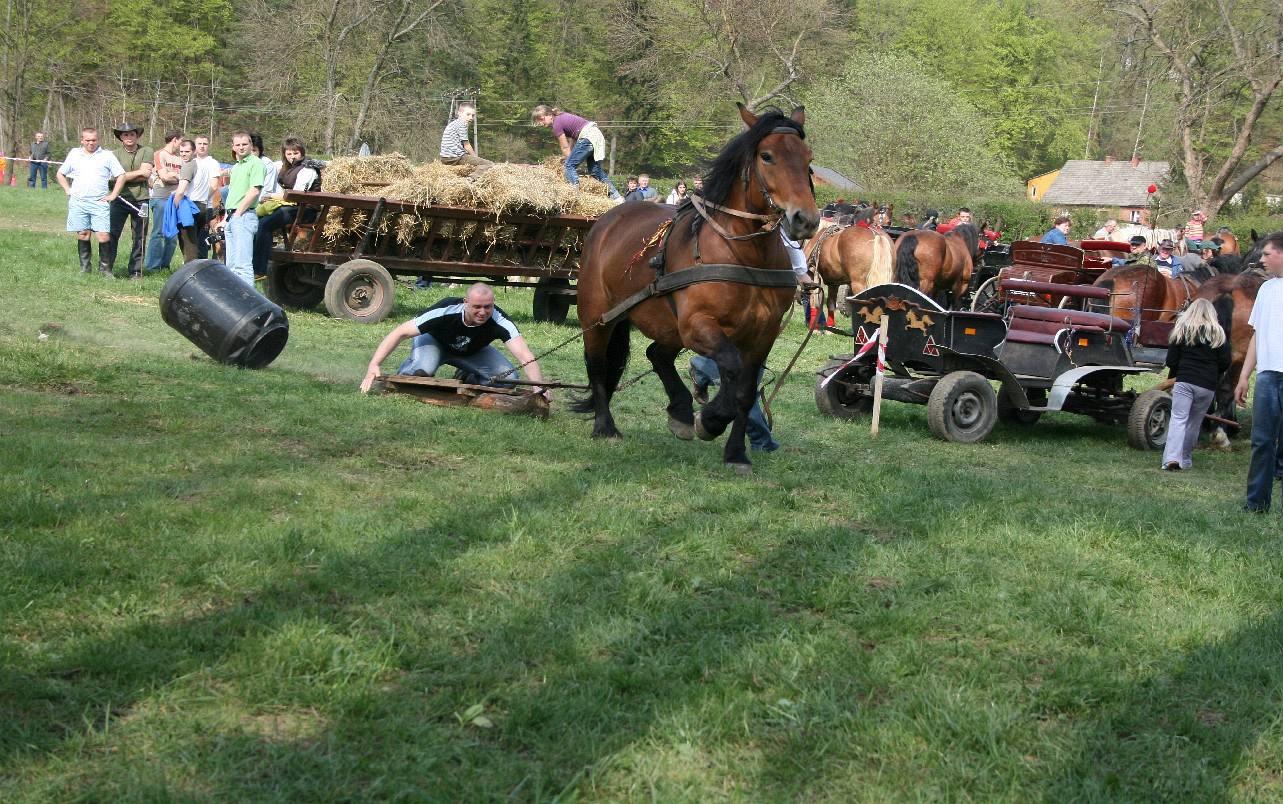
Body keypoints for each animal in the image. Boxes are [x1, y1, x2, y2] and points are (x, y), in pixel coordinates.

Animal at [574, 105, 815, 471]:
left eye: (808, 158)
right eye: (767, 156)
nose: (806, 220)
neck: (744, 254)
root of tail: (608, 220)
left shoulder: (763, 334)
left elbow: (745, 391)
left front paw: (735, 452)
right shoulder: (698, 324)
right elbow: (730, 366)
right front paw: (712, 419)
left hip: (668, 325)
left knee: (656, 354)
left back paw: (681, 411)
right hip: (599, 316)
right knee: (598, 364)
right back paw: (606, 426)